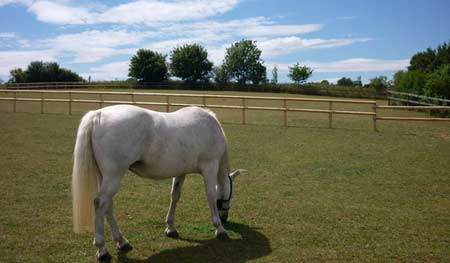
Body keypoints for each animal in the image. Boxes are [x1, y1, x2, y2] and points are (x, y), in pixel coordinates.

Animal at [72, 105, 246, 262]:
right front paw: (220, 229)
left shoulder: (180, 172)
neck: (211, 127)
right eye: (230, 197)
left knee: (108, 205)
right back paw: (102, 249)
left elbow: (175, 195)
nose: (225, 218)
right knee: (100, 203)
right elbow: (210, 196)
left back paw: (122, 241)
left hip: (106, 177)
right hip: (114, 175)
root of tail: (98, 115)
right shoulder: (210, 166)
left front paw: (171, 228)